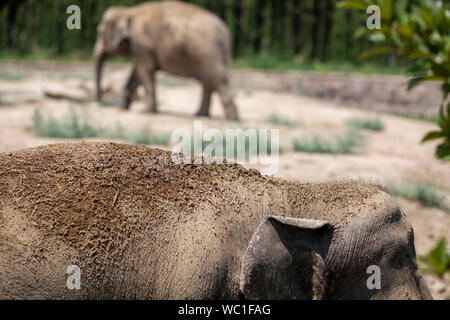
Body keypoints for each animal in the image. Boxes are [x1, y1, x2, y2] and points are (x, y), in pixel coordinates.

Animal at [92, 0, 239, 120]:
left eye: (100, 32)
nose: (101, 102)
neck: (129, 12)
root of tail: (227, 33)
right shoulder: (140, 48)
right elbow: (136, 74)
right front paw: (122, 108)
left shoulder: (141, 44)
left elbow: (144, 71)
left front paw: (148, 112)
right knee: (209, 82)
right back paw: (201, 115)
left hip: (208, 54)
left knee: (217, 80)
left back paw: (231, 118)